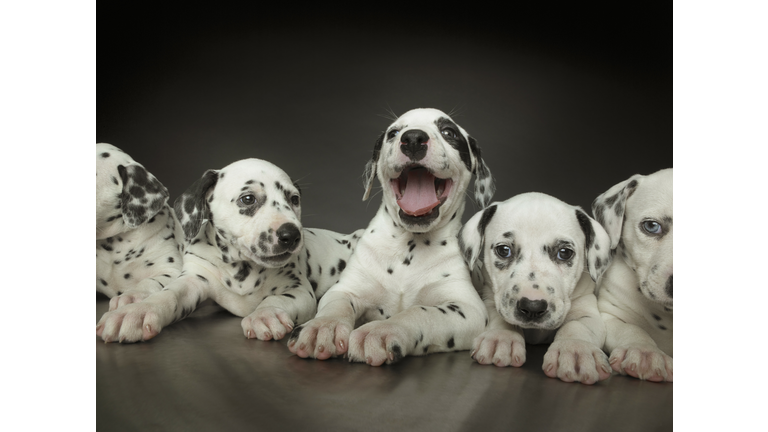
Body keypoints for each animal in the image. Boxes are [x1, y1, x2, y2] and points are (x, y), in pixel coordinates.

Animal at [97, 159, 360, 344]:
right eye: (248, 199)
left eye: (294, 199)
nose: (291, 235)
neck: (242, 269)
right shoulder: (194, 278)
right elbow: (167, 295)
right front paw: (136, 312)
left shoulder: (299, 289)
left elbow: (277, 298)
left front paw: (266, 314)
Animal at [284, 107, 496, 364]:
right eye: (393, 133)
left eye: (449, 132)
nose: (413, 138)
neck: (409, 247)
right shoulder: (345, 289)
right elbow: (336, 305)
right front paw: (322, 327)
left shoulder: (468, 308)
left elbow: (418, 312)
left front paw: (381, 330)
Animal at [460, 192, 616, 384]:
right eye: (503, 250)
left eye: (565, 253)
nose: (532, 307)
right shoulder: (490, 297)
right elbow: (499, 316)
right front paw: (500, 337)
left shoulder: (586, 310)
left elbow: (577, 327)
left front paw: (576, 349)